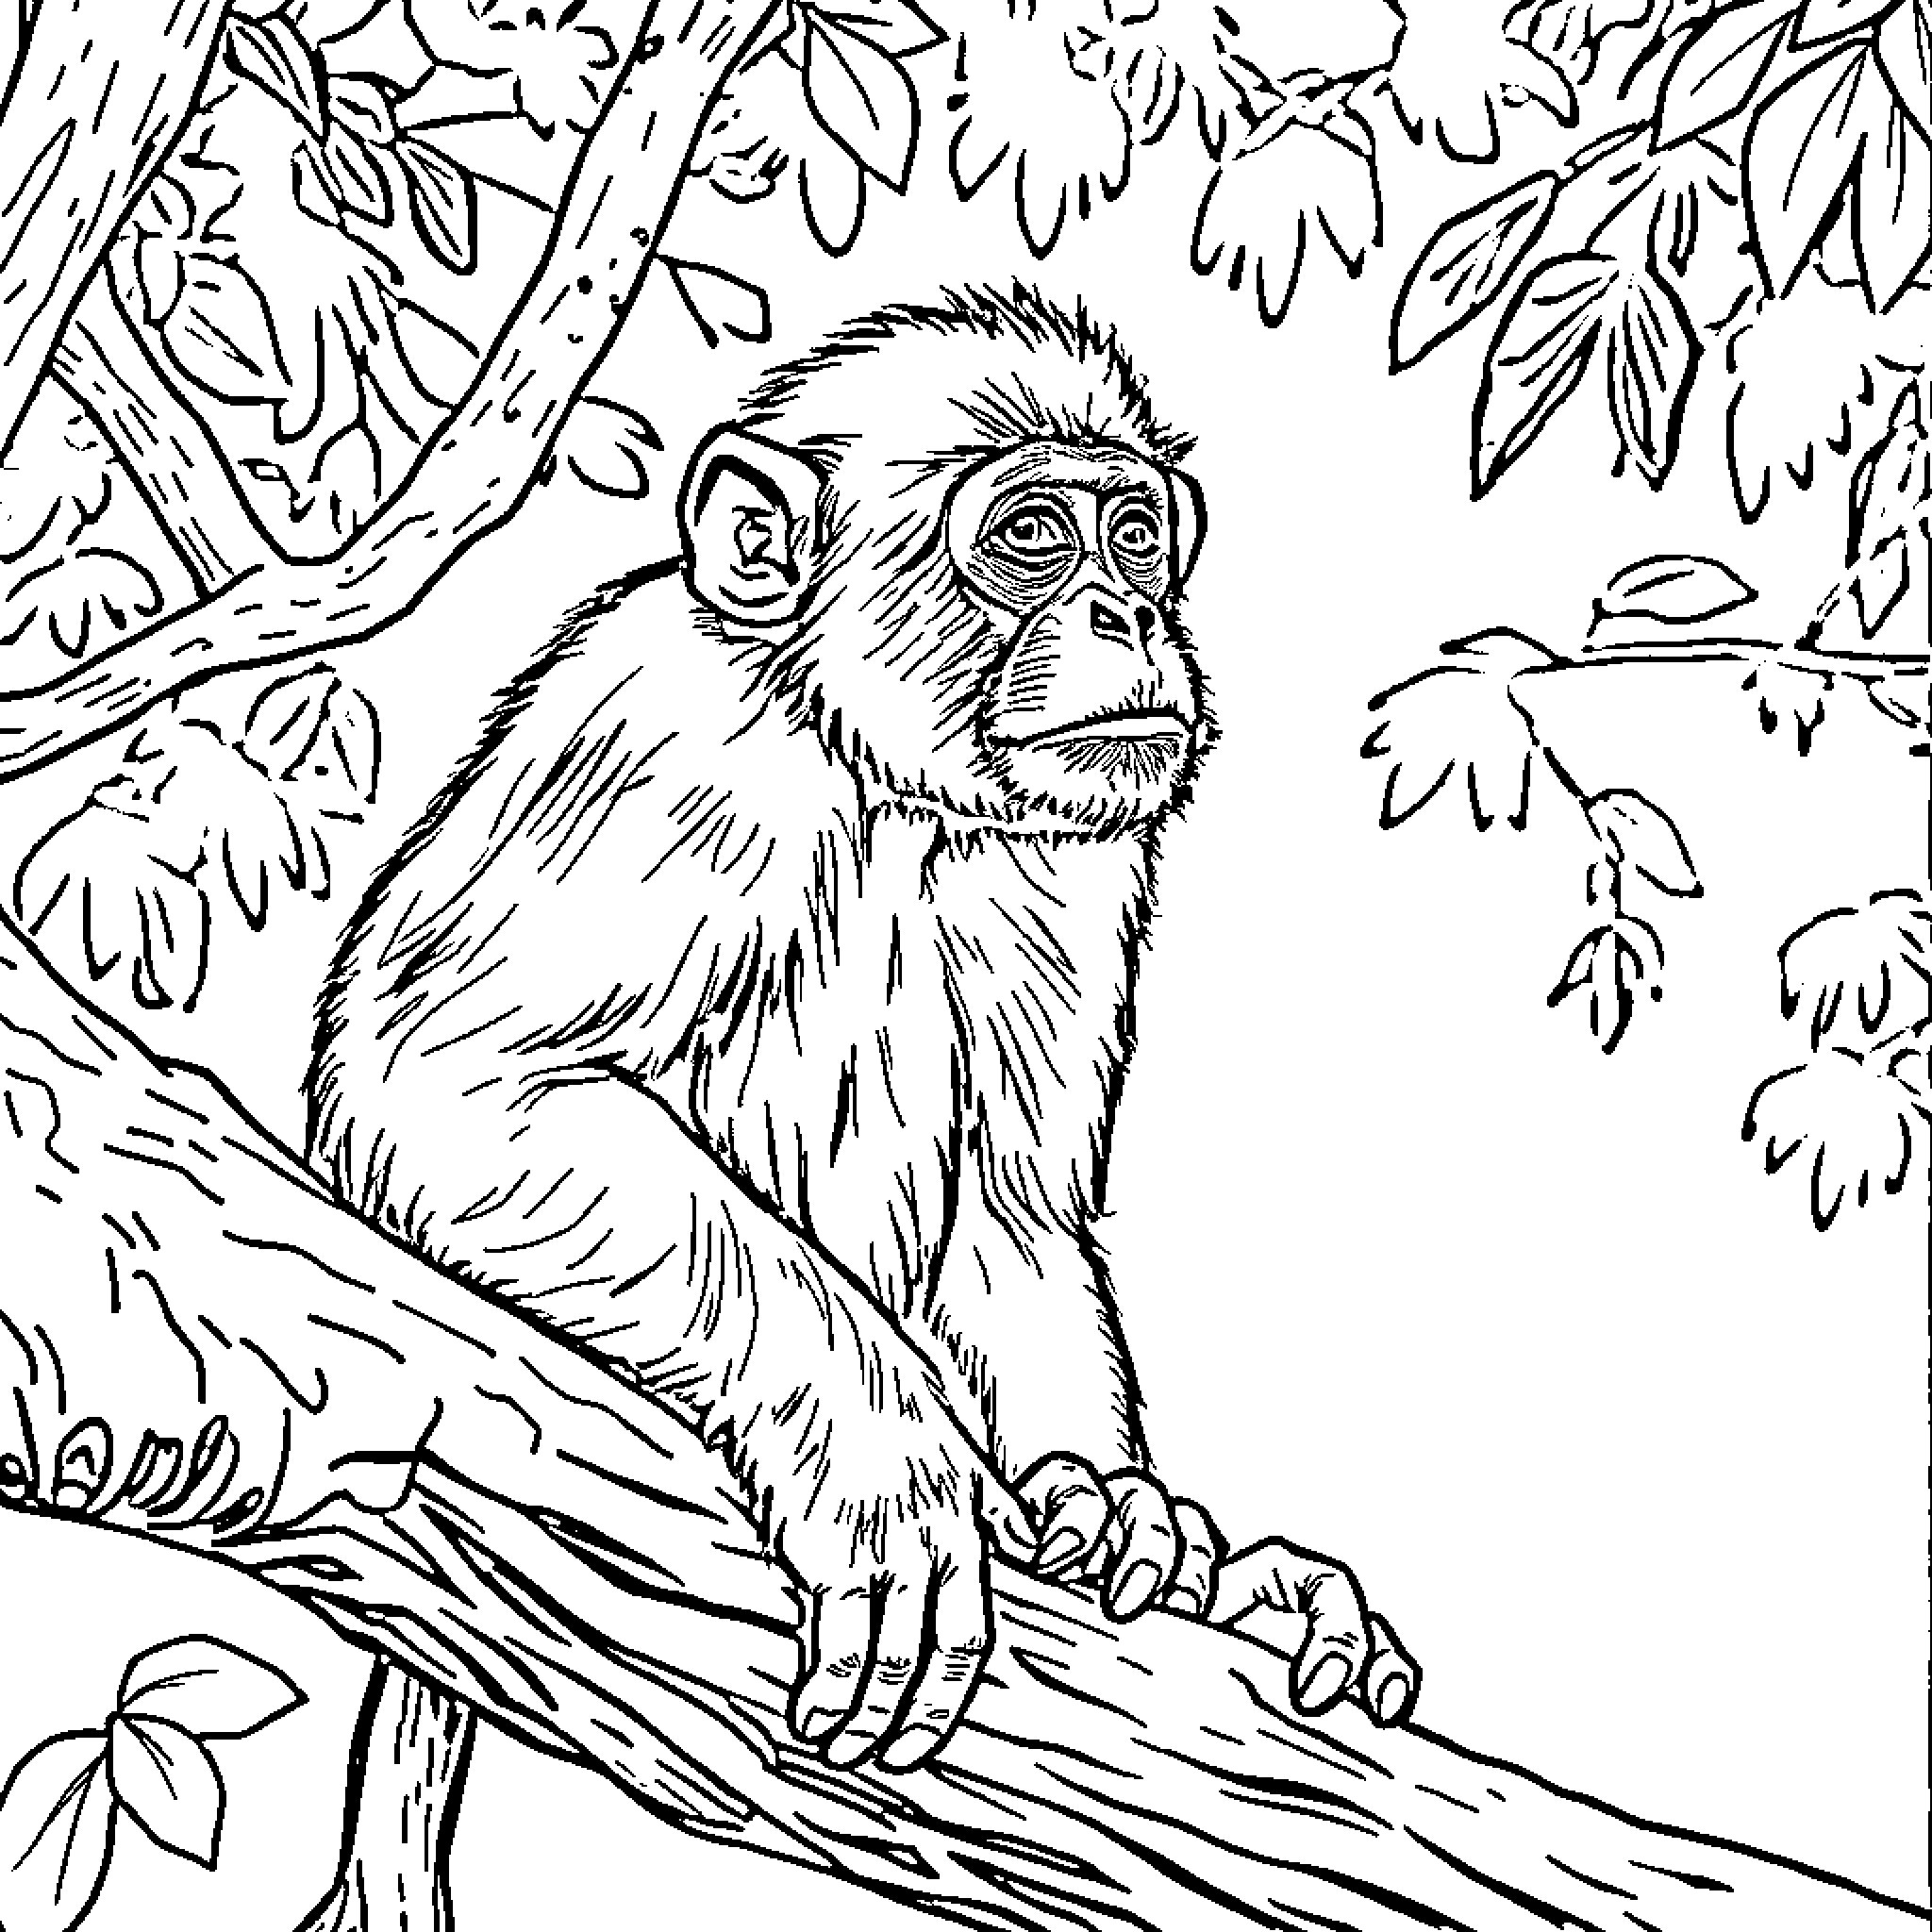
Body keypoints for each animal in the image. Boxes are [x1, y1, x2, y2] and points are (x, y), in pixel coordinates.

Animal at [303, 284, 1418, 1918]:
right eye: (1034, 536)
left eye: (1136, 534)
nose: (1132, 617)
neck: (875, 769)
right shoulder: (661, 744)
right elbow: (453, 1081)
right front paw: (883, 1455)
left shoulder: (1083, 854)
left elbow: (1017, 1217)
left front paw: (1135, 1522)